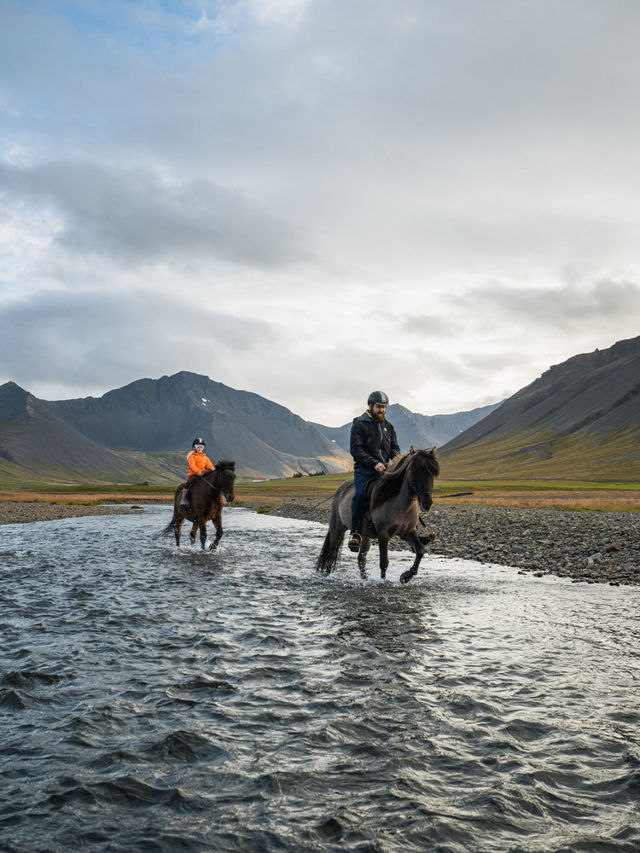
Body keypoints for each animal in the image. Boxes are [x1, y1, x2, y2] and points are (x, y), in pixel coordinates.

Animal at [316, 450, 440, 584]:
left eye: (432, 474)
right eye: (415, 471)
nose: (427, 503)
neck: (401, 506)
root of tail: (340, 489)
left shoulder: (408, 532)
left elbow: (420, 551)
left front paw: (406, 576)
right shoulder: (383, 535)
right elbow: (384, 562)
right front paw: (384, 581)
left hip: (365, 536)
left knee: (361, 559)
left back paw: (364, 579)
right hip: (338, 528)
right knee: (331, 553)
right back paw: (328, 576)